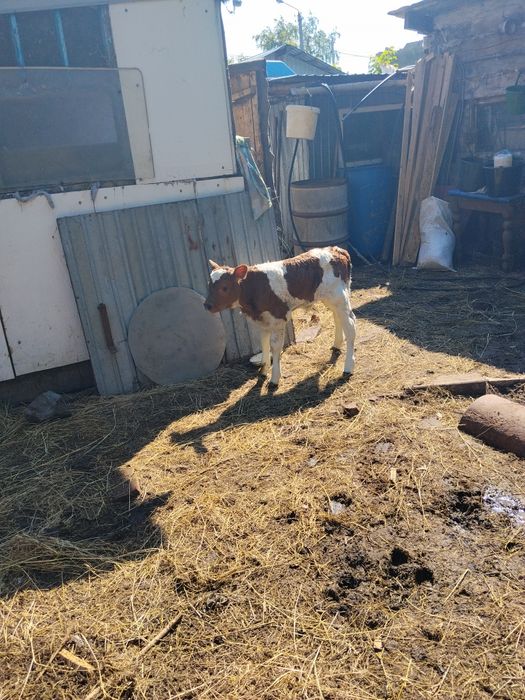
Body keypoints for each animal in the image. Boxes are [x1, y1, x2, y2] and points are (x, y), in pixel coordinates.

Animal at [204, 246, 356, 388]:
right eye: (209, 285)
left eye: (224, 287)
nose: (207, 305)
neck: (255, 288)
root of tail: (337, 250)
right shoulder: (263, 321)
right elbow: (264, 344)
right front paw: (263, 372)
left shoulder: (279, 318)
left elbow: (275, 347)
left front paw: (274, 379)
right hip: (330, 299)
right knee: (337, 317)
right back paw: (336, 345)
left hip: (339, 297)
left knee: (350, 325)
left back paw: (348, 368)